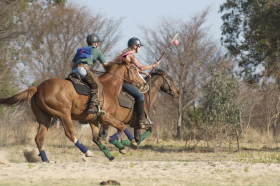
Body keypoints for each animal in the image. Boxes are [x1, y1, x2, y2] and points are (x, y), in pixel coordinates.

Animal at [0, 59, 149, 161]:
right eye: (134, 69)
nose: (144, 84)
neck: (109, 87)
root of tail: (38, 88)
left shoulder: (94, 120)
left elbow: (97, 137)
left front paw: (112, 153)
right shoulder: (106, 117)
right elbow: (121, 128)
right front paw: (122, 142)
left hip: (45, 118)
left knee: (39, 138)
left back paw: (46, 160)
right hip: (64, 114)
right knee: (69, 133)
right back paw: (87, 152)